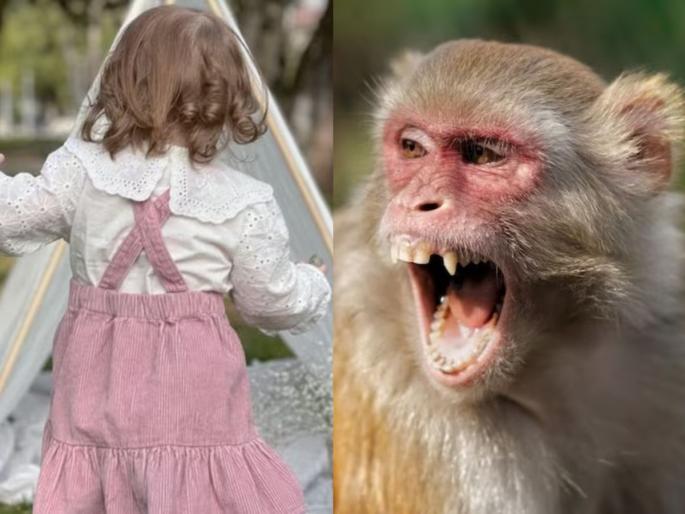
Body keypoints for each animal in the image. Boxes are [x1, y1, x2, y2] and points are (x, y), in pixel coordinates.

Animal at [333, 40, 685, 514]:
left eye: (483, 154)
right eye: (411, 148)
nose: (417, 202)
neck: (552, 363)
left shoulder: (666, 344)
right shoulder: (451, 441)